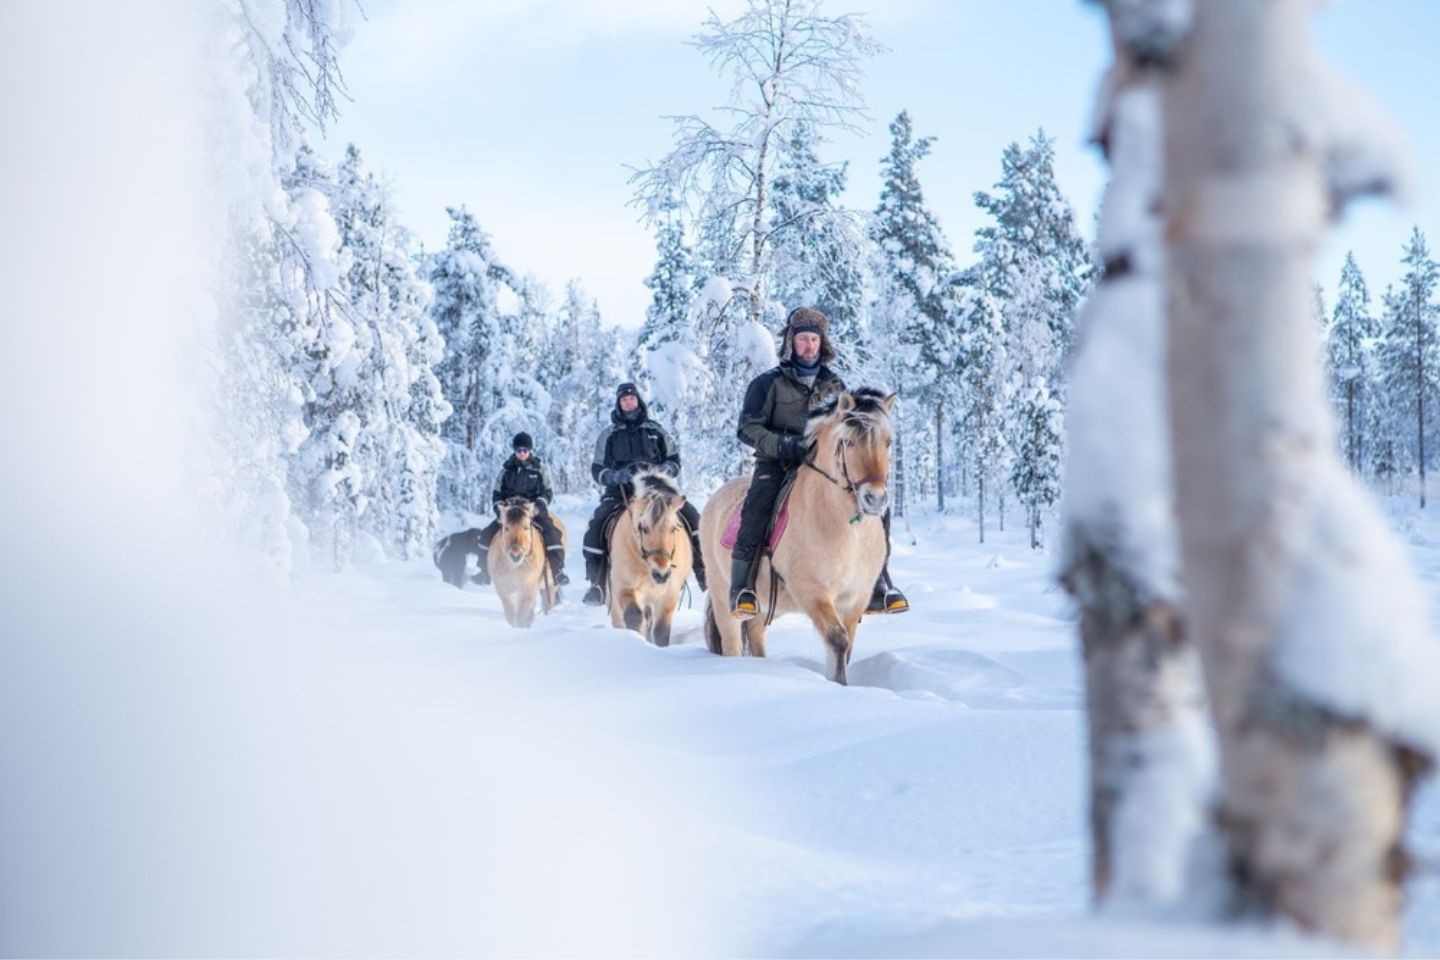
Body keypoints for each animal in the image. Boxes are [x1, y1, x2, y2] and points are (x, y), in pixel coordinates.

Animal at [604, 472, 694, 650]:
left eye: (673, 528)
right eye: (643, 528)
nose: (662, 574)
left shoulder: (669, 594)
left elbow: (661, 630)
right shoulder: (625, 588)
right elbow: (634, 618)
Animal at [694, 385, 887, 687]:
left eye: (889, 442)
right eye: (849, 442)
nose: (875, 498)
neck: (847, 531)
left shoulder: (856, 597)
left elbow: (846, 648)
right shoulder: (813, 592)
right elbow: (837, 640)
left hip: (765, 607)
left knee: (756, 634)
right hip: (722, 594)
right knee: (732, 641)